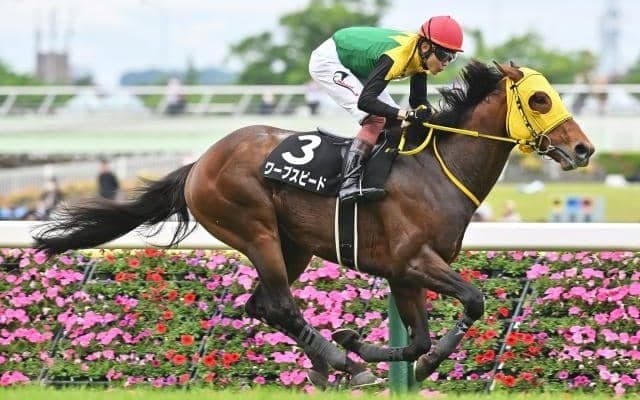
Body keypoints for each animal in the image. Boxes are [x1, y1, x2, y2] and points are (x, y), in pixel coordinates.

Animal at [33, 60, 594, 388]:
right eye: (541, 99)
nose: (584, 148)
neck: (435, 169)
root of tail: (200, 163)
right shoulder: (413, 260)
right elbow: (474, 301)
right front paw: (390, 357)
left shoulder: (403, 272)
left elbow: (416, 339)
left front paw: (372, 347)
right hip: (254, 229)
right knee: (279, 304)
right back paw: (342, 366)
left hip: (293, 245)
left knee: (263, 305)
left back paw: (329, 367)